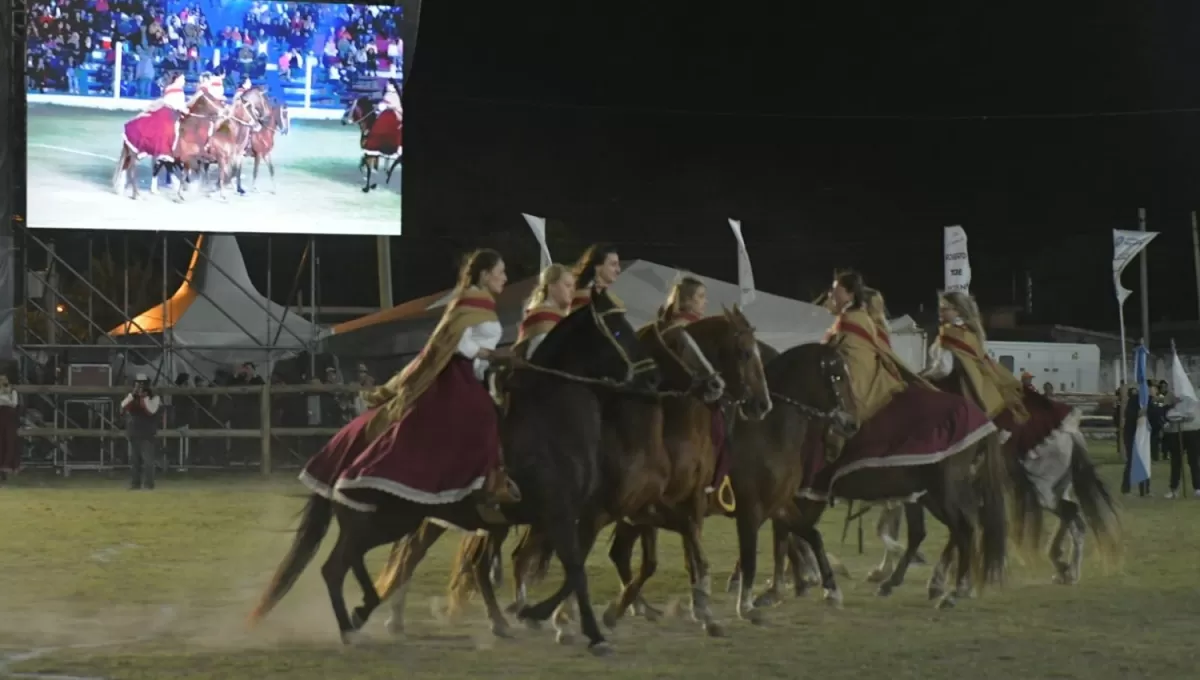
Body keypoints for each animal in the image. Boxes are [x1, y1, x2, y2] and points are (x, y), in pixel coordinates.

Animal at [367, 314, 720, 642]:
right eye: (676, 344)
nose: (715, 384)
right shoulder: (594, 513)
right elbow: (580, 565)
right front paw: (558, 617)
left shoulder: (641, 508)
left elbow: (675, 546)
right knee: (414, 550)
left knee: (466, 560)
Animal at [720, 342, 1012, 618]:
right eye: (837, 376)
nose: (851, 424)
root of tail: (982, 418)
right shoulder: (788, 496)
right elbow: (787, 534)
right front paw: (786, 585)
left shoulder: (804, 494)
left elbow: (790, 533)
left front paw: (797, 584)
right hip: (927, 493)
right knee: (936, 531)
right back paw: (912, 583)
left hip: (945, 490)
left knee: (965, 528)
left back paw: (954, 590)